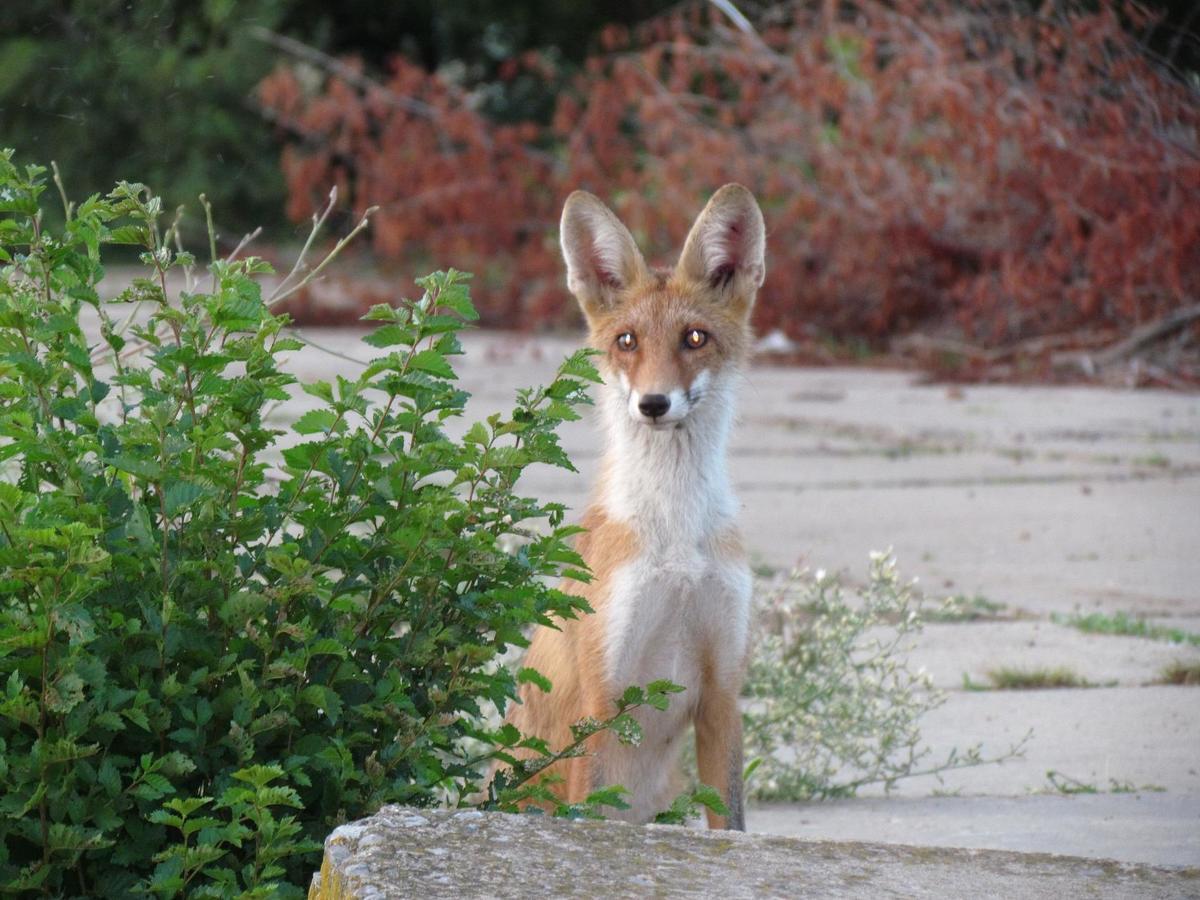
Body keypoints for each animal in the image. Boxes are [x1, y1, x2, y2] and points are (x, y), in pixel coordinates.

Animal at [499, 183, 763, 830]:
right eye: (627, 342)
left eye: (694, 338)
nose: (653, 403)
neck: (676, 538)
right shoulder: (603, 700)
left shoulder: (723, 695)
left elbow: (734, 825)